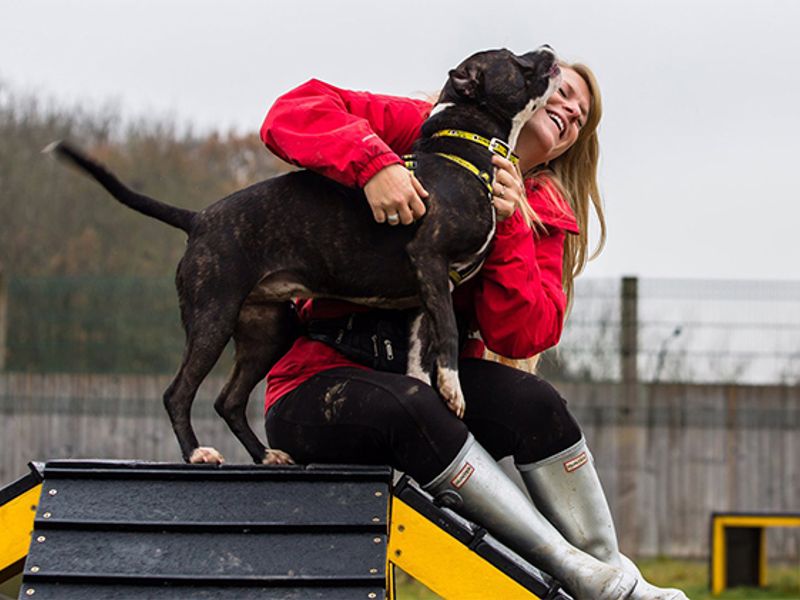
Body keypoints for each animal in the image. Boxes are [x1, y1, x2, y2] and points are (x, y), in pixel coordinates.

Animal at [47, 49, 560, 466]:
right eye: (513, 59)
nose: (550, 48)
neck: (462, 155)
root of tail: (198, 219)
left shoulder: (423, 293)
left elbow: (422, 352)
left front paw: (432, 386)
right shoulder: (430, 260)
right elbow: (449, 334)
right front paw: (453, 390)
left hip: (267, 330)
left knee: (228, 400)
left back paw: (265, 454)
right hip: (212, 318)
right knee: (178, 393)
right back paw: (196, 453)